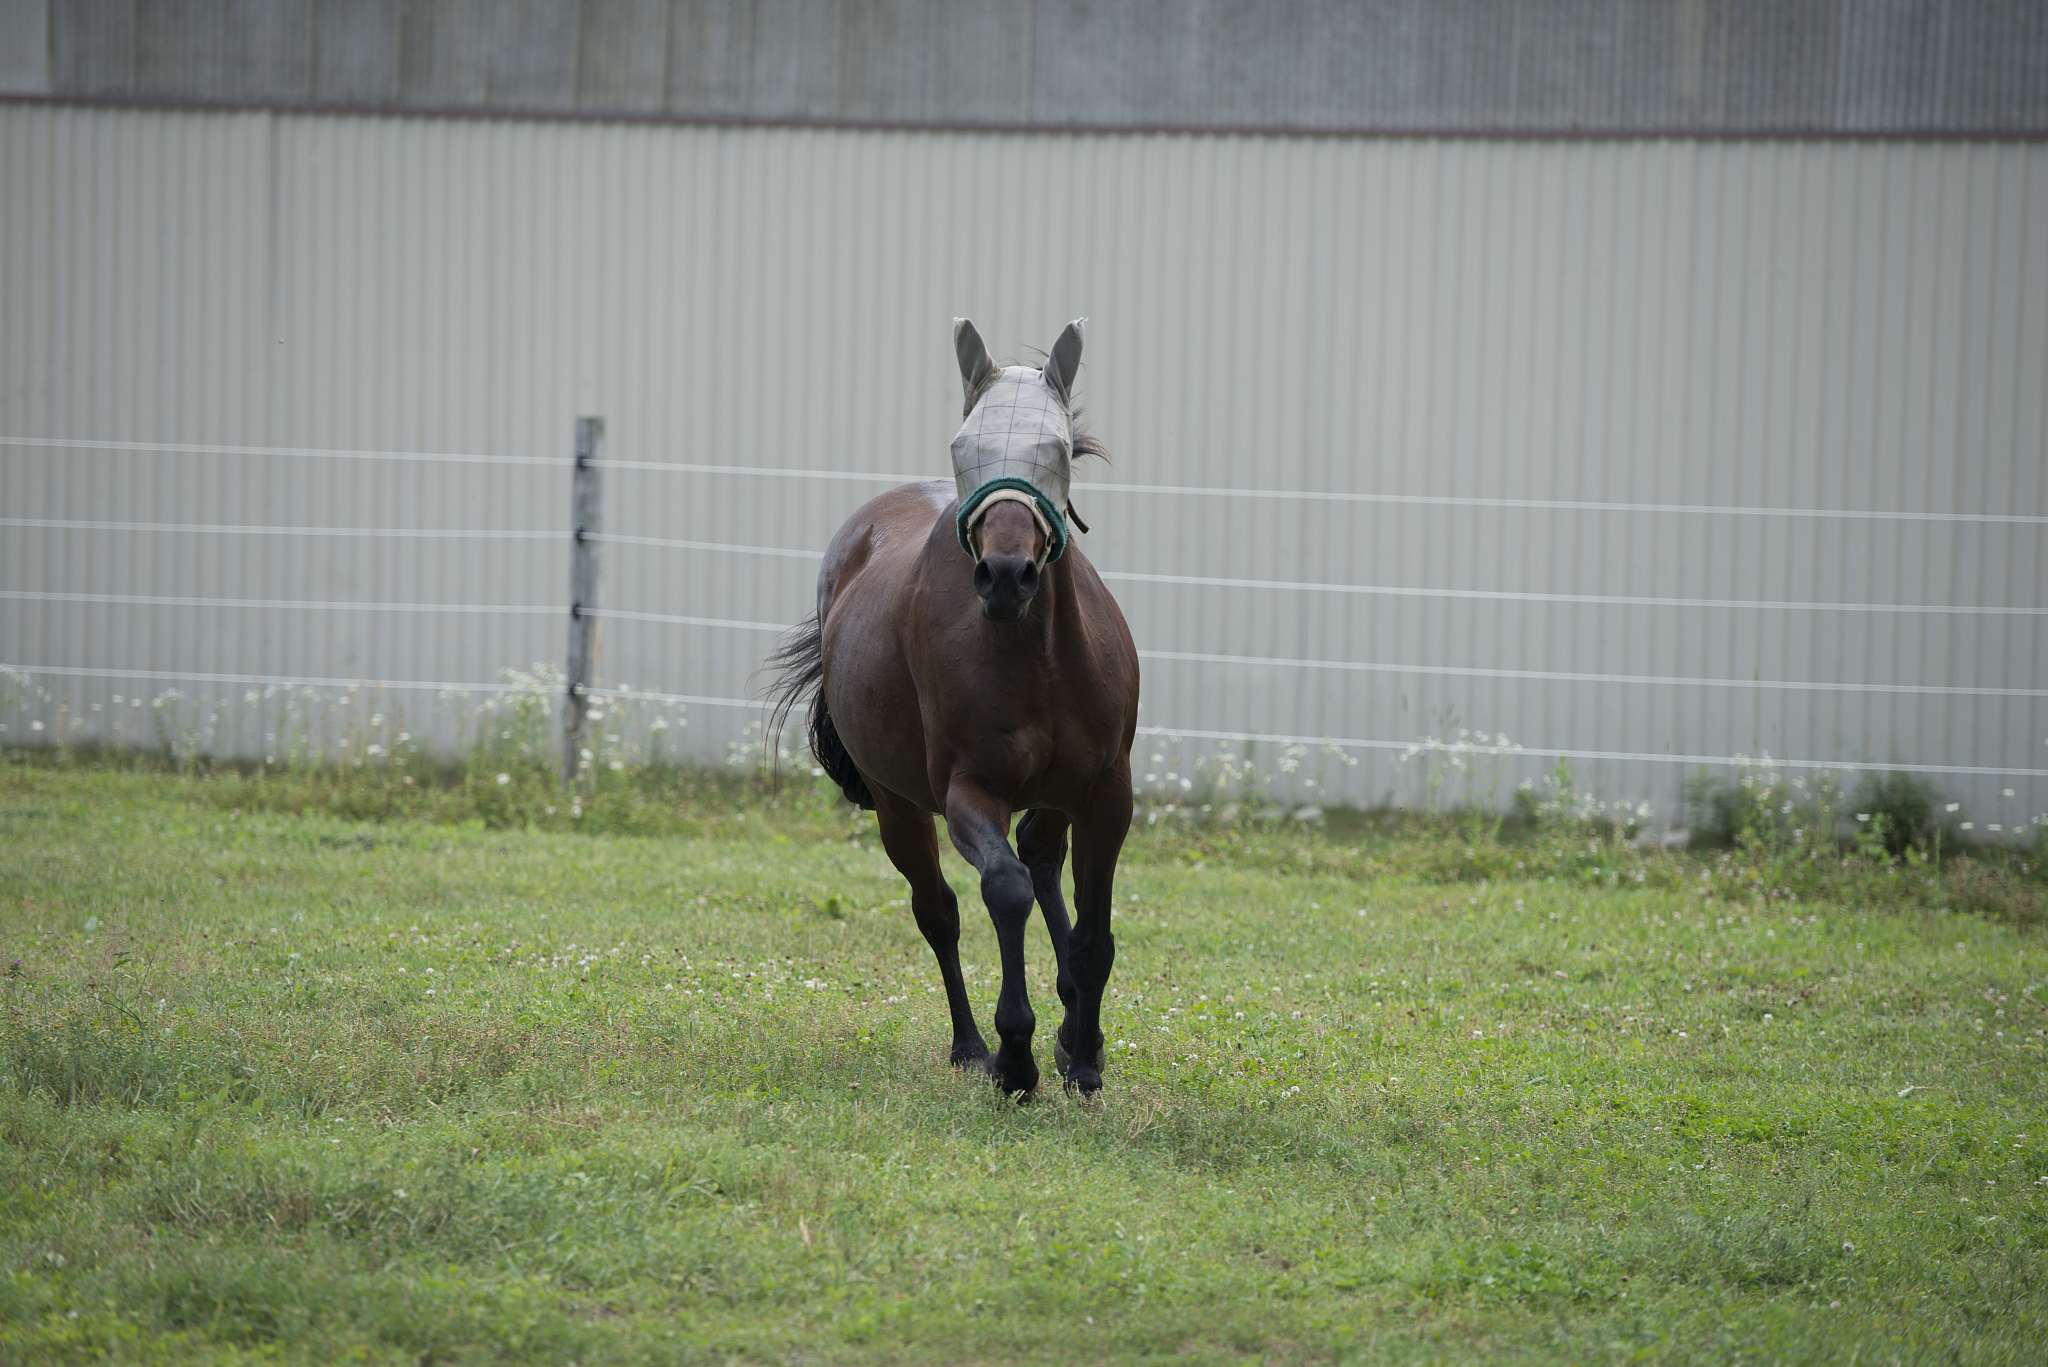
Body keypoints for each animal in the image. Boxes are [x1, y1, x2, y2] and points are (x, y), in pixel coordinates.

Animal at [767, 318, 1139, 1096]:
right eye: (962, 447)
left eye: (1057, 448)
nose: (1004, 574)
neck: (1037, 652)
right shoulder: (968, 789)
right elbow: (1003, 890)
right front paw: (1015, 1055)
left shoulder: (1105, 791)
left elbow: (1092, 934)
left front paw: (1085, 1062)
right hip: (898, 806)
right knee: (939, 910)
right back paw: (972, 1044)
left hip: (1055, 794)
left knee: (1040, 859)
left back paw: (1070, 1027)